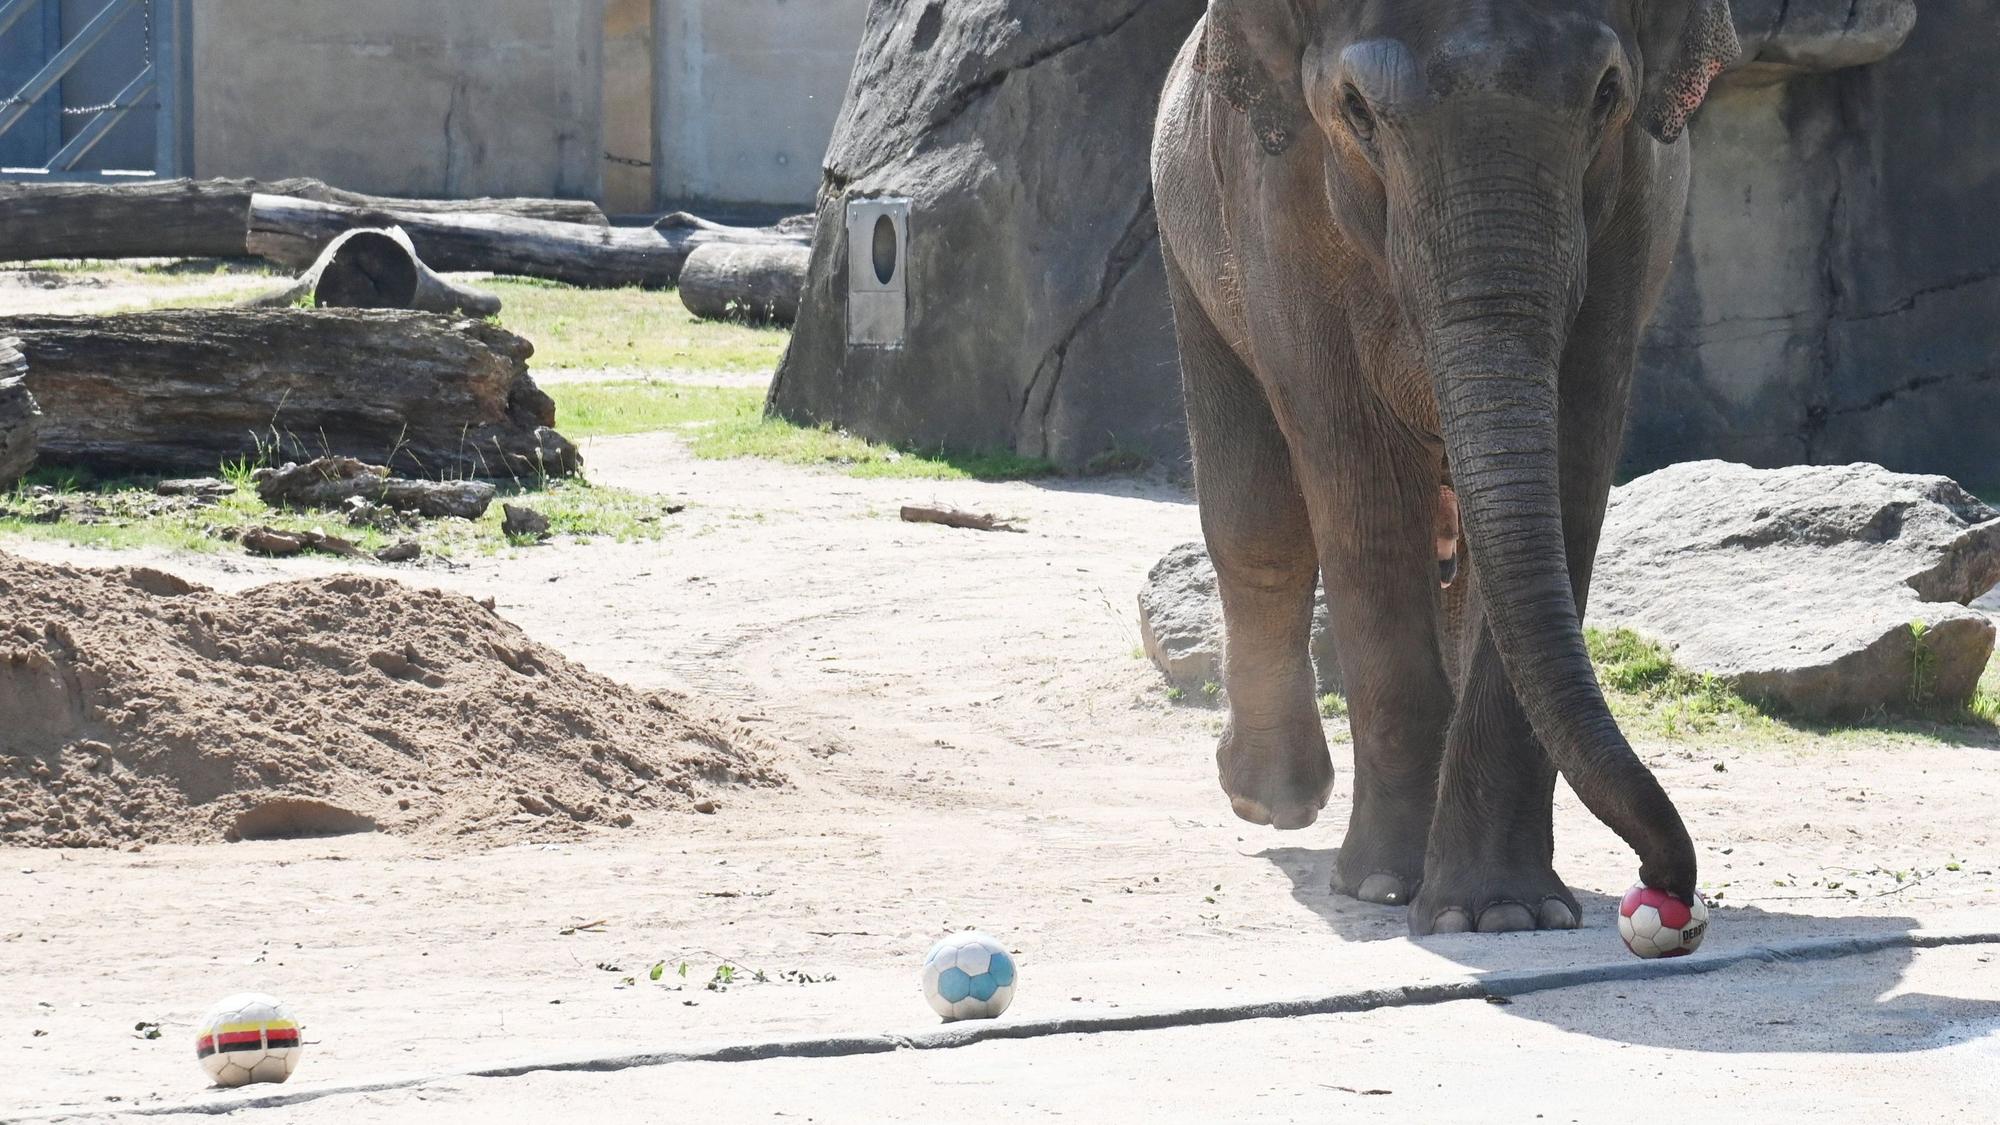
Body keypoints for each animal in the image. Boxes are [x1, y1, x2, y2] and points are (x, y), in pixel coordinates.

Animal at [1151, 0, 1740, 935]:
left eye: (1607, 93)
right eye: (1356, 109)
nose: (1667, 884)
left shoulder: (1632, 216)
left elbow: (1571, 456)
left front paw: (1500, 913)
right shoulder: (1275, 204)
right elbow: (1355, 472)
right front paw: (1383, 886)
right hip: (1189, 240)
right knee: (1257, 515)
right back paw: (1273, 800)